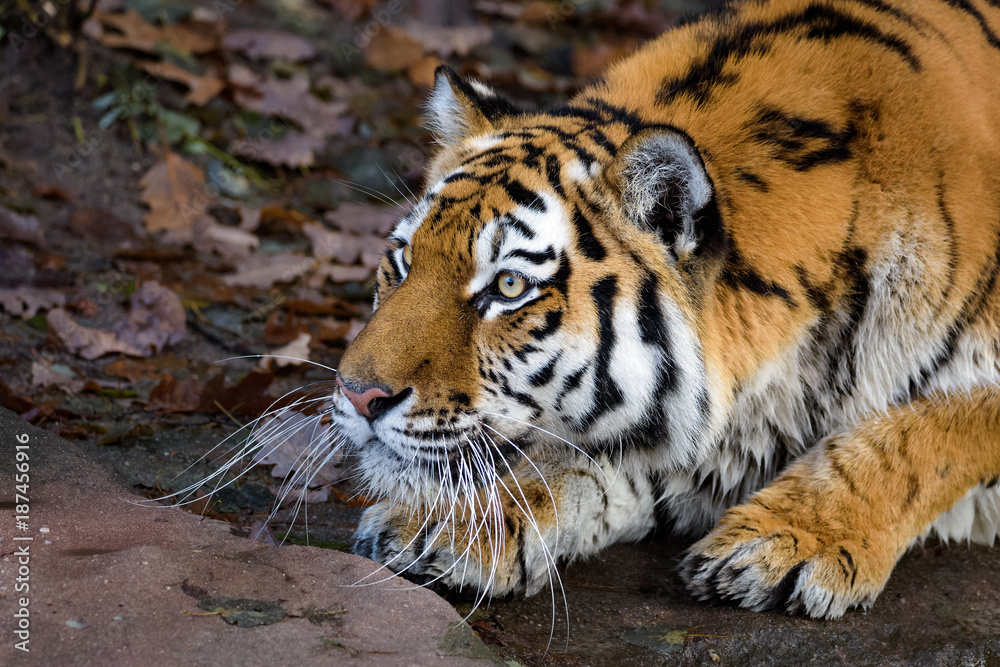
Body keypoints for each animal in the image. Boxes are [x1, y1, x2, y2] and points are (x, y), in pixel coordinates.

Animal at [328, 0, 1000, 619]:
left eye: (510, 286)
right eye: (403, 260)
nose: (359, 395)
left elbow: (922, 436)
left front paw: (781, 546)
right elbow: (581, 459)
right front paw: (445, 524)